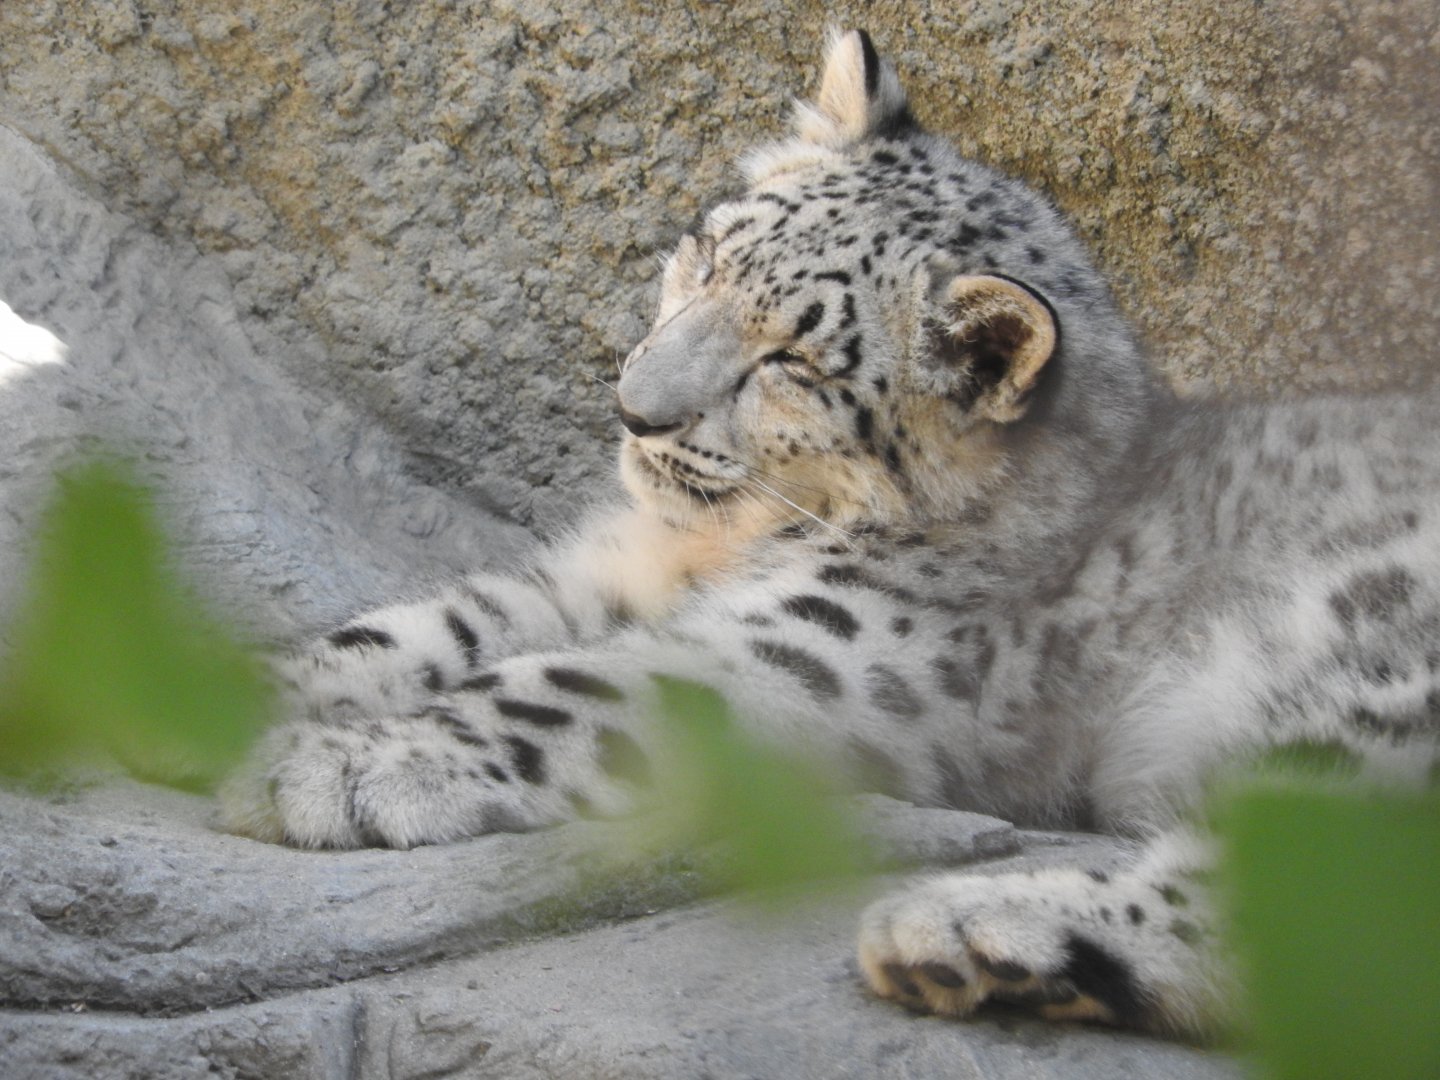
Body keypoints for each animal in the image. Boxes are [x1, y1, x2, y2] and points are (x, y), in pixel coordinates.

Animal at [220, 29, 1440, 1039]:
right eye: (708, 252)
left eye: (792, 364)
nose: (634, 408)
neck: (725, 543)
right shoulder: (606, 576)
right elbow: (438, 624)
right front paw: (250, 693)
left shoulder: (815, 649)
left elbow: (569, 685)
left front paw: (344, 766)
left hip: (1374, 691)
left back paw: (967, 931)